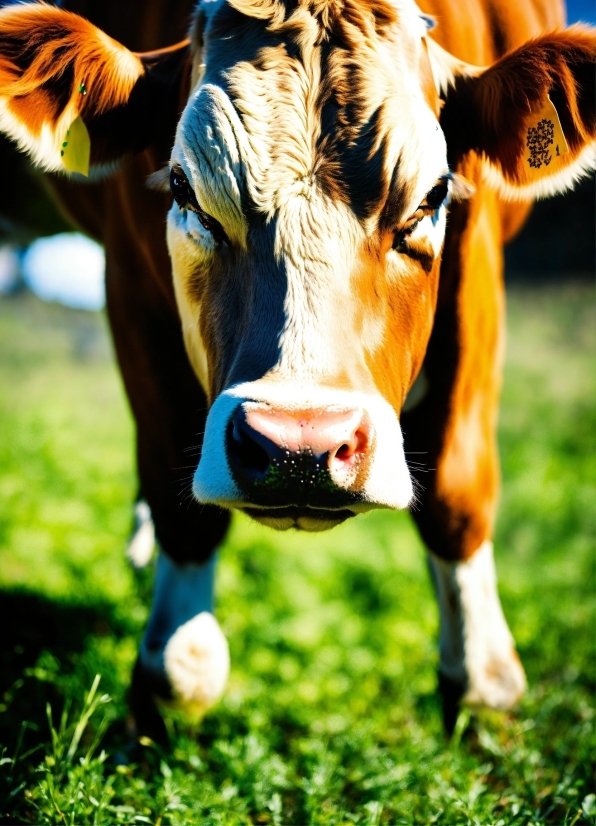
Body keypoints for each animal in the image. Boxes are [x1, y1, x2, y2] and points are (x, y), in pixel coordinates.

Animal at [0, 0, 592, 740]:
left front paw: (481, 684)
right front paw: (173, 672)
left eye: (431, 197)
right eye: (182, 188)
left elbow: (457, 491)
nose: (299, 449)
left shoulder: (479, 250)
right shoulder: (130, 273)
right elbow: (180, 508)